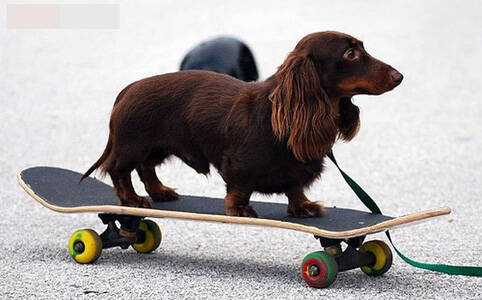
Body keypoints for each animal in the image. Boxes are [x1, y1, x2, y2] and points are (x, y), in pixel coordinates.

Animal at [82, 31, 402, 217]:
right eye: (350, 53)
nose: (399, 76)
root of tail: (128, 89)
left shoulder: (295, 169)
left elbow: (295, 187)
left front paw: (303, 207)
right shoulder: (239, 166)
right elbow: (240, 188)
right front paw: (240, 208)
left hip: (157, 147)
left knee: (146, 167)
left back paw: (159, 191)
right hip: (133, 145)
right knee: (119, 170)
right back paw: (132, 199)